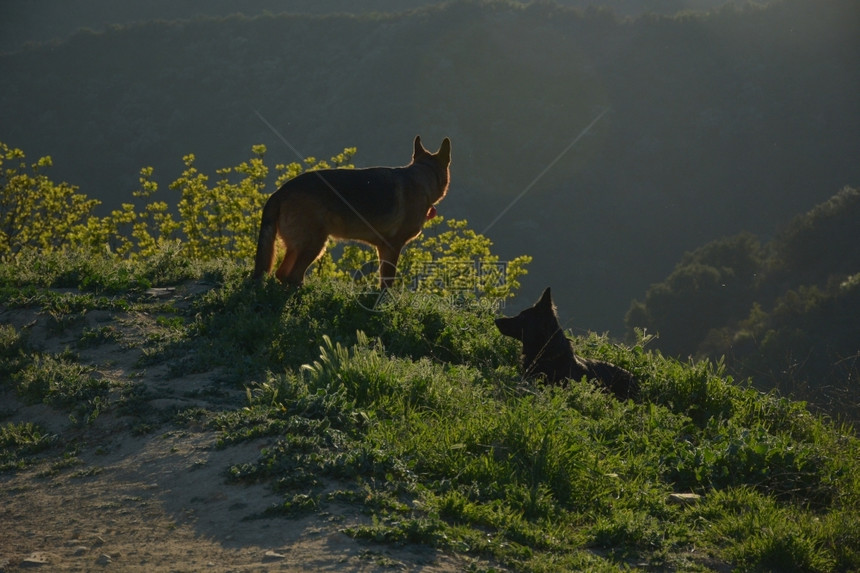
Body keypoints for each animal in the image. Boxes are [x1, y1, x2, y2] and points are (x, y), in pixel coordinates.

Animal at [254, 136, 450, 288]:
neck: (424, 177)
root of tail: (280, 192)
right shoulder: (392, 247)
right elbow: (387, 283)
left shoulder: (382, 248)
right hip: (314, 245)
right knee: (292, 276)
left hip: (298, 247)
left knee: (281, 274)